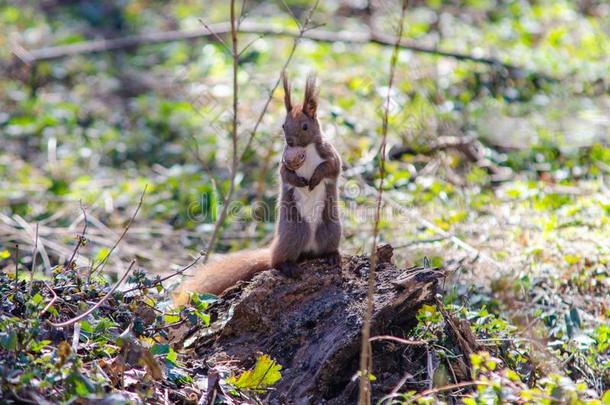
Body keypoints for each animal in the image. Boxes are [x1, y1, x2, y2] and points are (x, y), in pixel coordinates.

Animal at [173, 72, 340, 302]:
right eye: (283, 125)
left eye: (305, 126)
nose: (289, 141)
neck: (305, 149)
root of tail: (309, 249)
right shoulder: (283, 162)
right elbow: (285, 175)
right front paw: (300, 181)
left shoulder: (329, 153)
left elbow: (331, 167)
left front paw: (315, 178)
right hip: (293, 234)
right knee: (276, 262)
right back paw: (288, 267)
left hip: (331, 229)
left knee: (326, 248)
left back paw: (332, 256)